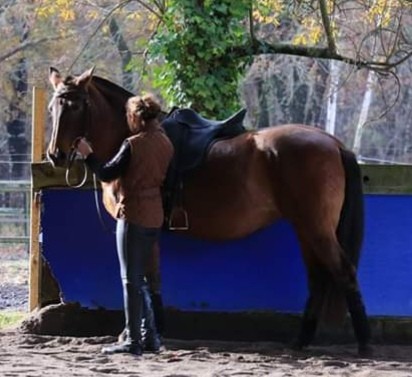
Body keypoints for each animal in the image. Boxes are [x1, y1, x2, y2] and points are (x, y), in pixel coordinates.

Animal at [46, 67, 372, 356]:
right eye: (52, 107)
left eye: (75, 106)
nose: (55, 155)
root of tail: (334, 143)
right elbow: (151, 280)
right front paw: (152, 332)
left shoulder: (134, 226)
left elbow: (140, 280)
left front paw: (133, 335)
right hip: (306, 228)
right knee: (318, 278)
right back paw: (300, 341)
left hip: (316, 228)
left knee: (344, 272)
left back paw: (364, 345)